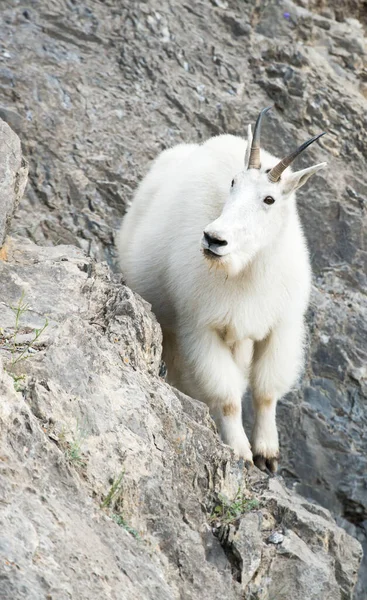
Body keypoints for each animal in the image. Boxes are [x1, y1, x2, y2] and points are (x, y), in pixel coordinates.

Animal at [116, 109, 326, 474]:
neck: (246, 271)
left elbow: (266, 391)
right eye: (233, 183)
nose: (214, 239)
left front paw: (268, 454)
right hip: (171, 328)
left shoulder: (281, 328)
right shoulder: (202, 328)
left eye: (269, 199)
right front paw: (241, 452)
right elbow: (227, 396)